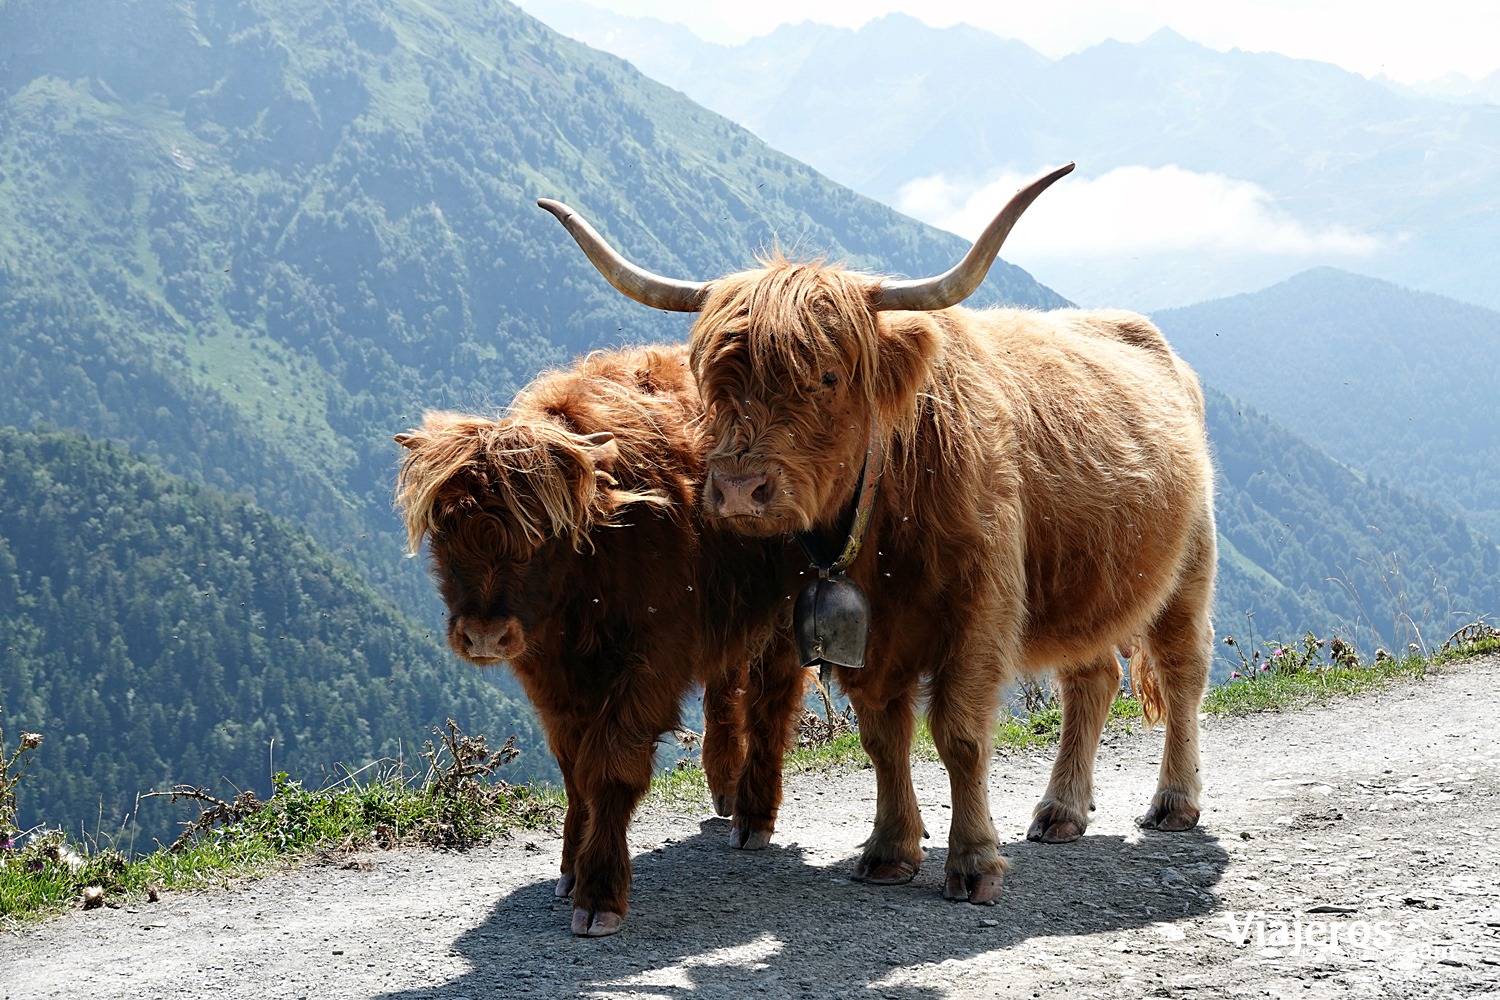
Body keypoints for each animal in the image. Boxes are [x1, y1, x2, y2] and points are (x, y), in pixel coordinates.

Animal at [393, 346, 804, 941]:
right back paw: (725, 787)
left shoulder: (650, 660)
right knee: (726, 684)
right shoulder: (548, 674)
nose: (485, 634)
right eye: (445, 526)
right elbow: (573, 769)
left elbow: (608, 764)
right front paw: (569, 866)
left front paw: (598, 891)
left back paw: (753, 816)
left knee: (773, 697)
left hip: (791, 601)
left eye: (539, 533)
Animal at [540, 170, 1218, 905]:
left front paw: (973, 862)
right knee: (1092, 677)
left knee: (1182, 670)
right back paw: (1062, 810)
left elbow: (958, 734)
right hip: (1086, 583)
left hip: (1187, 571)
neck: (886, 523)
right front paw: (891, 849)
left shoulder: (980, 609)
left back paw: (1174, 802)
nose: (739, 489)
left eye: (828, 377)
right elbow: (883, 736)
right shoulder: (870, 635)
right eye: (715, 379)